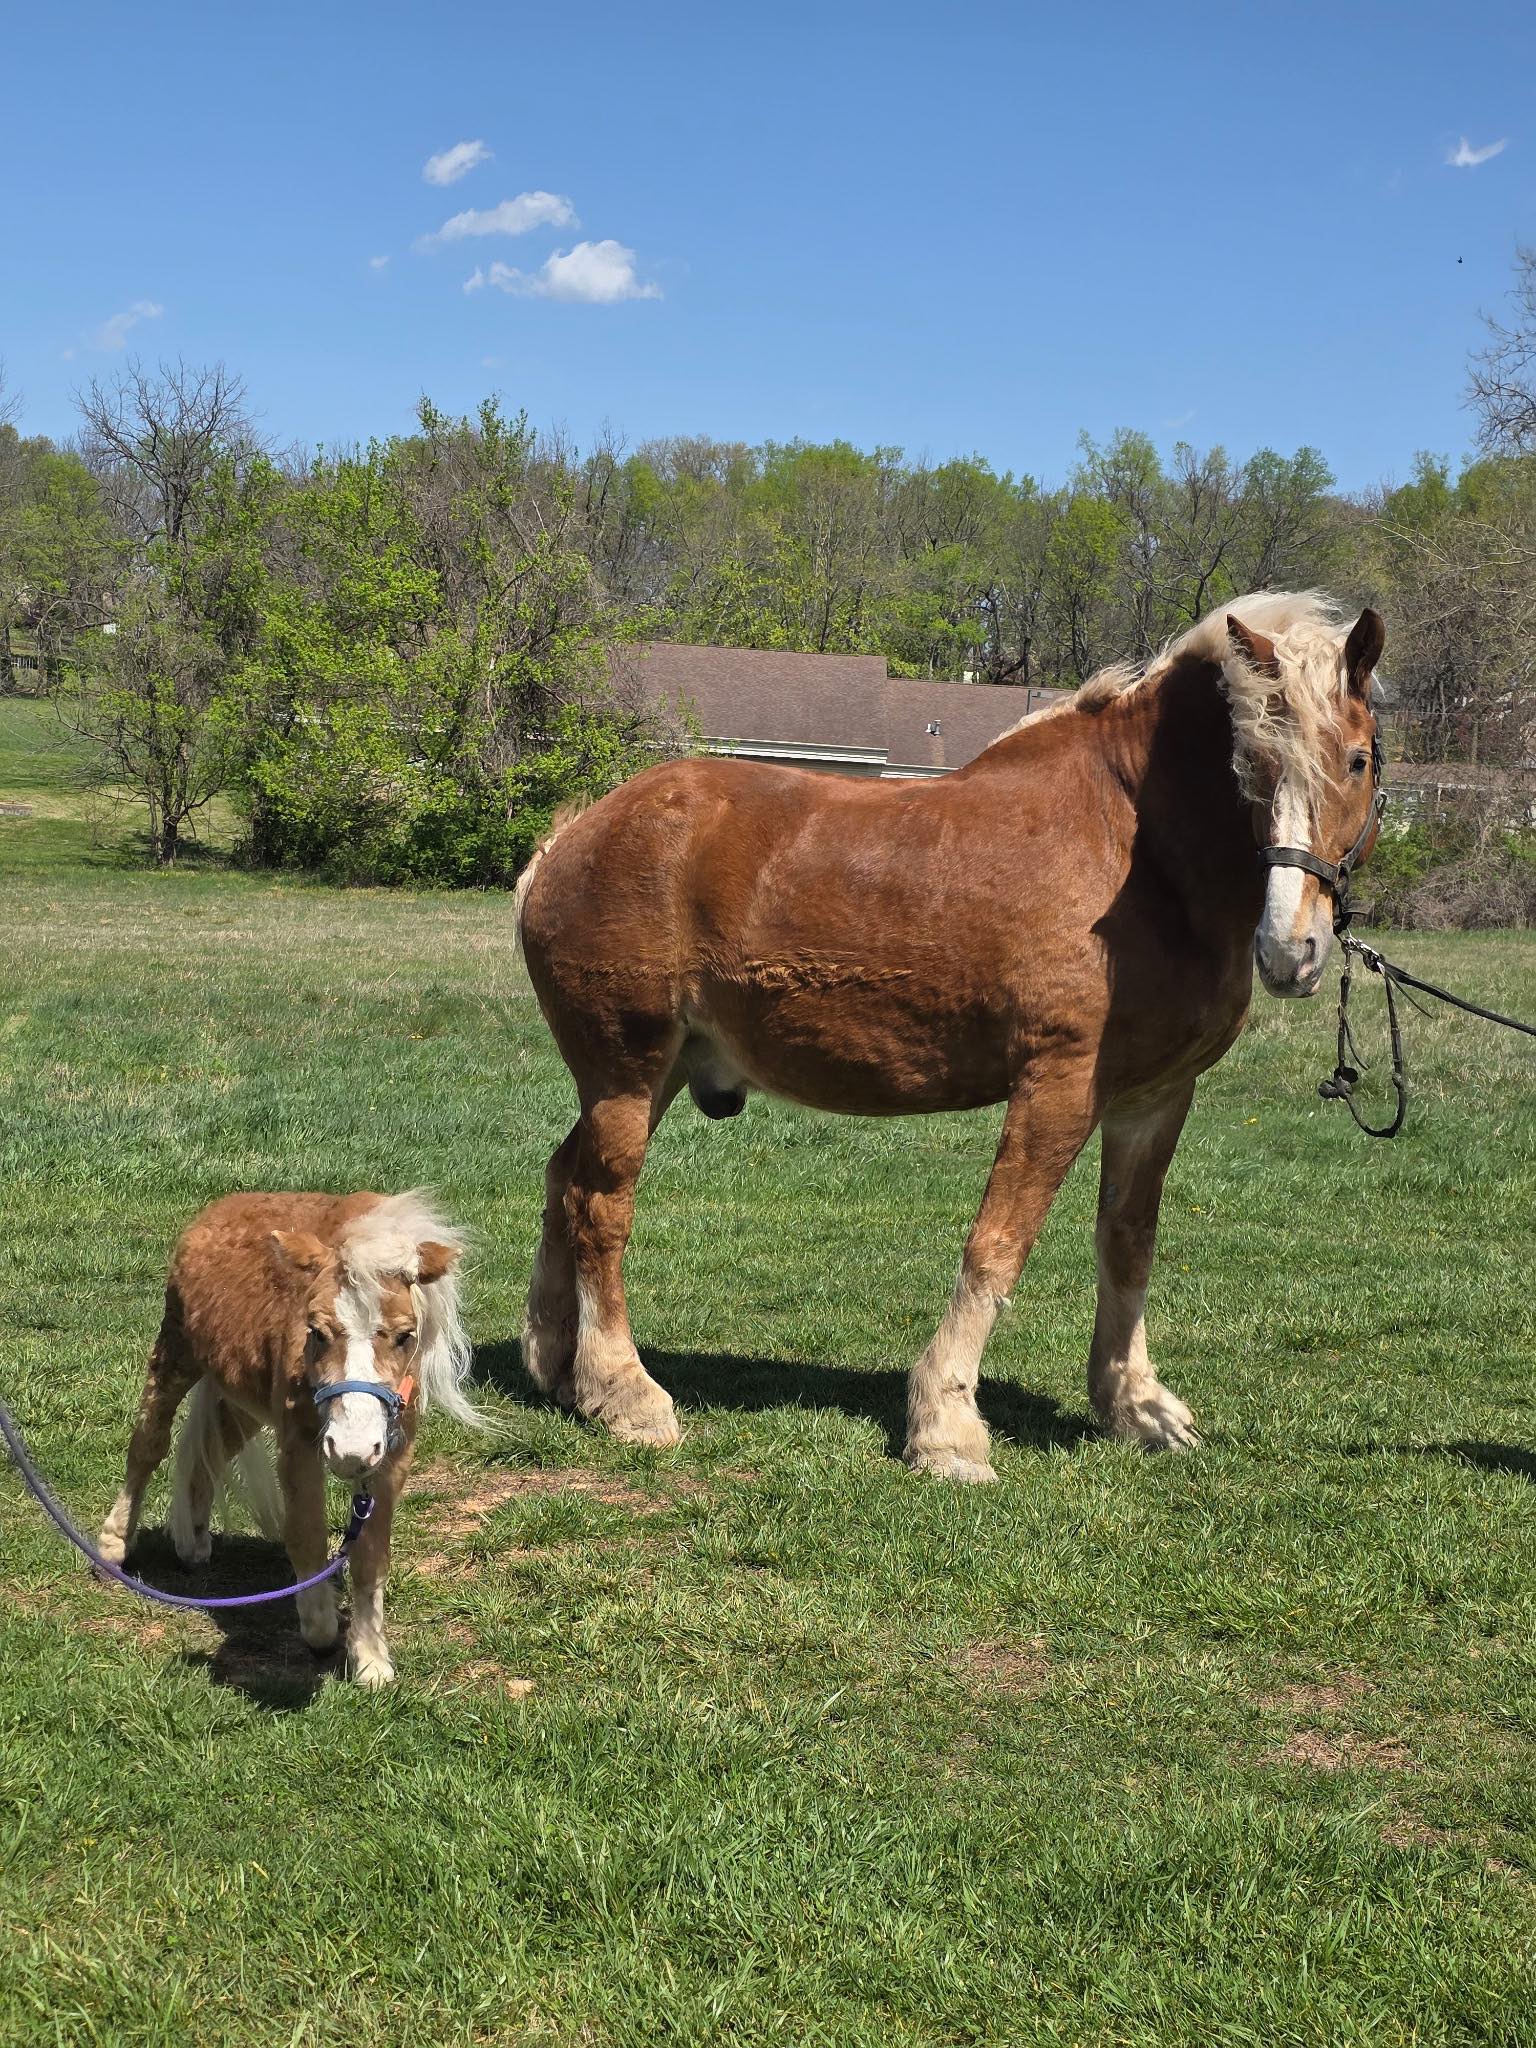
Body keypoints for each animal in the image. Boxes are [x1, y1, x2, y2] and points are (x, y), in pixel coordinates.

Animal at [97, 1190, 477, 1685]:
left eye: (404, 1336)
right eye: (316, 1330)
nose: (351, 1450)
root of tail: (218, 1209)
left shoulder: (392, 1457)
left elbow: (371, 1555)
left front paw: (371, 1660)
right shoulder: (299, 1444)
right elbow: (306, 1533)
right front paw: (320, 1630)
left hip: (240, 1395)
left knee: (211, 1453)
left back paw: (193, 1541)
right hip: (175, 1352)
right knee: (147, 1445)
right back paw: (113, 1544)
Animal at [515, 592, 1385, 1481]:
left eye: (1356, 761)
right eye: (1252, 768)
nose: (1291, 949)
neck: (1134, 849)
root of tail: (569, 839)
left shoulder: (1154, 1097)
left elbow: (1128, 1242)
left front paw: (1134, 1405)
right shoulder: (1060, 1083)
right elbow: (998, 1246)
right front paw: (947, 1425)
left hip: (646, 1077)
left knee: (562, 1179)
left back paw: (556, 1365)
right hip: (627, 1070)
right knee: (600, 1207)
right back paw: (623, 1391)